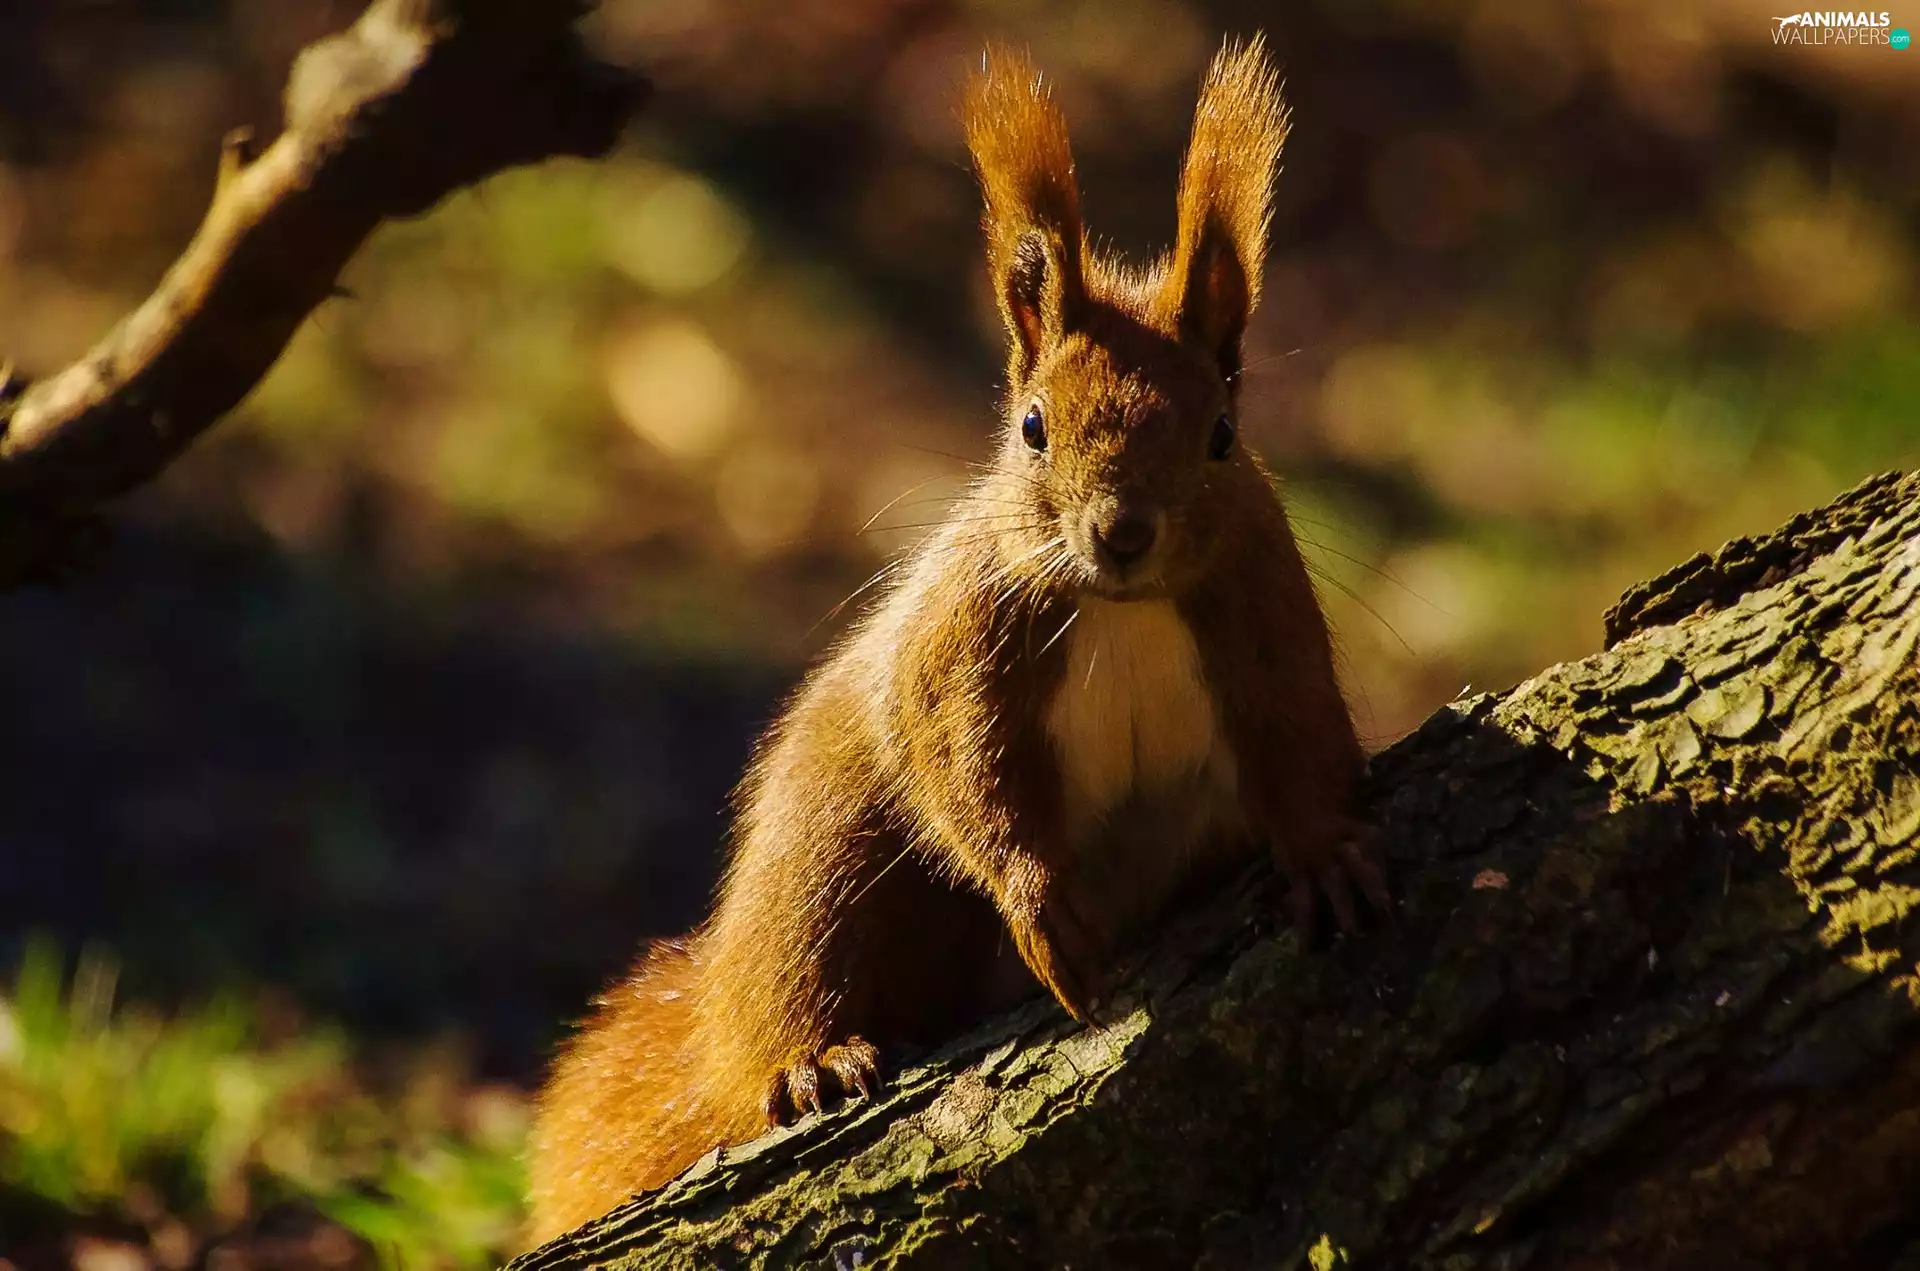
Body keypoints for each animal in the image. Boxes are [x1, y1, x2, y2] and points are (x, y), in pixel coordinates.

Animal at [525, 35, 1387, 1245]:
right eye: (1032, 427)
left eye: (1222, 433)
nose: (1123, 532)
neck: (1120, 606)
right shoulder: (963, 641)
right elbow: (964, 765)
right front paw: (1037, 898)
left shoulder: (1264, 609)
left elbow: (1300, 729)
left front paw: (1324, 851)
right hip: (827, 845)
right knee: (791, 973)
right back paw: (808, 1062)